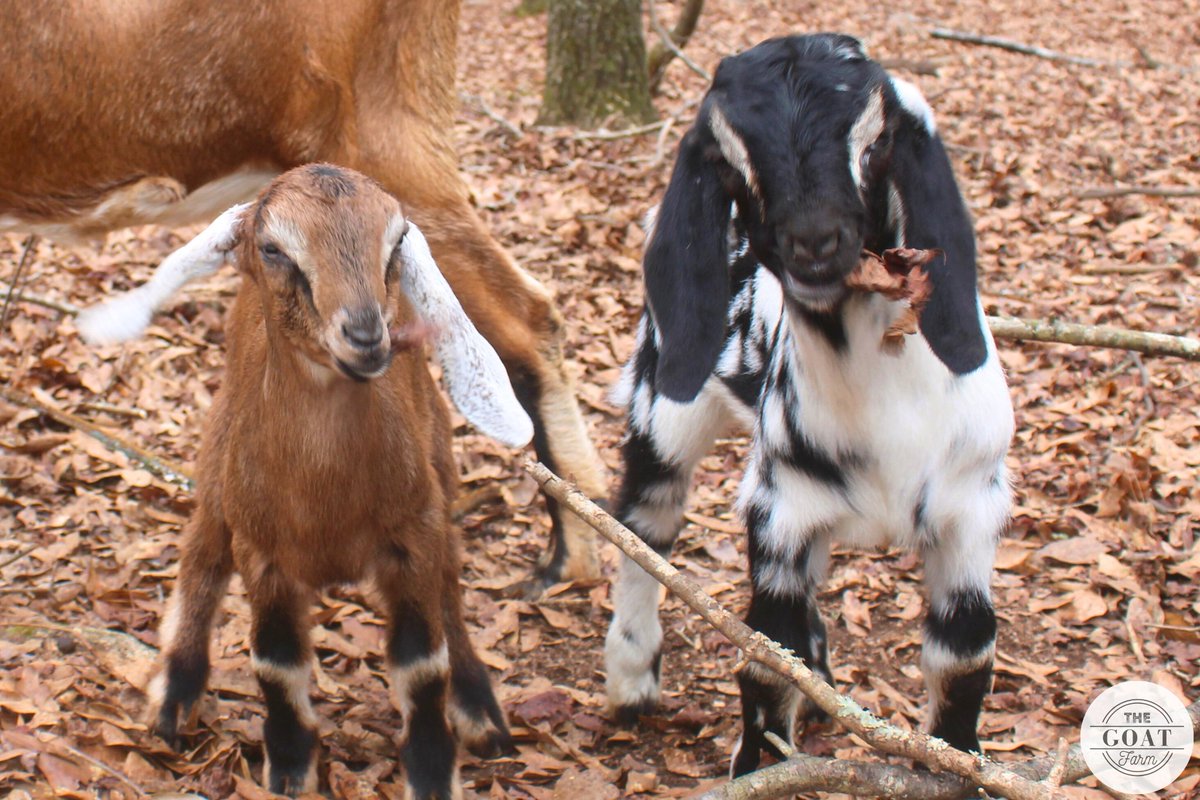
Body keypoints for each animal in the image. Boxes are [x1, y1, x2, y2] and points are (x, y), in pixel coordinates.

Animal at [146, 164, 532, 798]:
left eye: (396, 242)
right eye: (274, 248)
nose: (367, 335)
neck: (325, 505)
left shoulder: (413, 536)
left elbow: (423, 665)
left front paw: (432, 771)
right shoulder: (262, 552)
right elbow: (276, 665)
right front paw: (289, 769)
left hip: (440, 465)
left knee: (451, 583)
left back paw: (479, 709)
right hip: (217, 466)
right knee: (201, 553)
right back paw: (172, 700)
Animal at [603, 34, 1014, 776]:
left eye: (877, 143)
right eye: (729, 163)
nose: (815, 240)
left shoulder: (970, 508)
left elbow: (965, 658)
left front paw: (959, 764)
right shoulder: (779, 509)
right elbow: (766, 665)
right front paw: (760, 769)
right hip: (663, 405)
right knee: (645, 524)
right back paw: (630, 678)